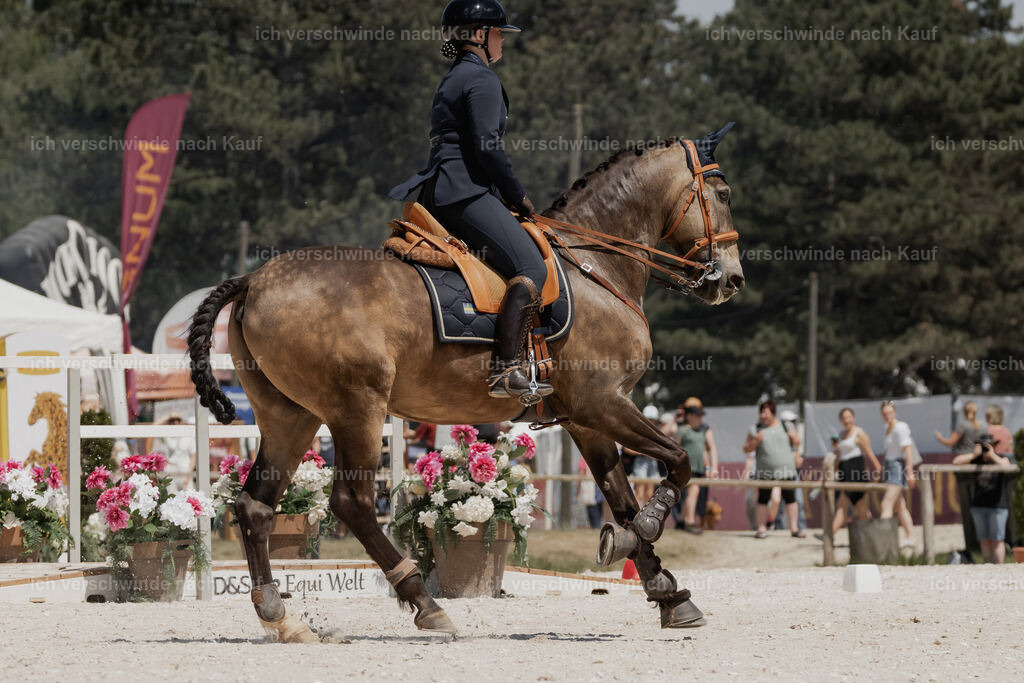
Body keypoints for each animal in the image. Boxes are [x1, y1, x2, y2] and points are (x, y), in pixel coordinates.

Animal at [188, 130, 745, 642]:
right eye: (722, 193)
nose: (732, 280)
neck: (597, 265)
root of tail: (254, 280)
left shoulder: (587, 419)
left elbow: (623, 496)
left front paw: (665, 589)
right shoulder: (603, 403)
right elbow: (679, 461)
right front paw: (648, 533)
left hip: (290, 414)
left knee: (255, 504)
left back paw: (280, 616)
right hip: (356, 408)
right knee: (354, 504)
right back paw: (426, 604)